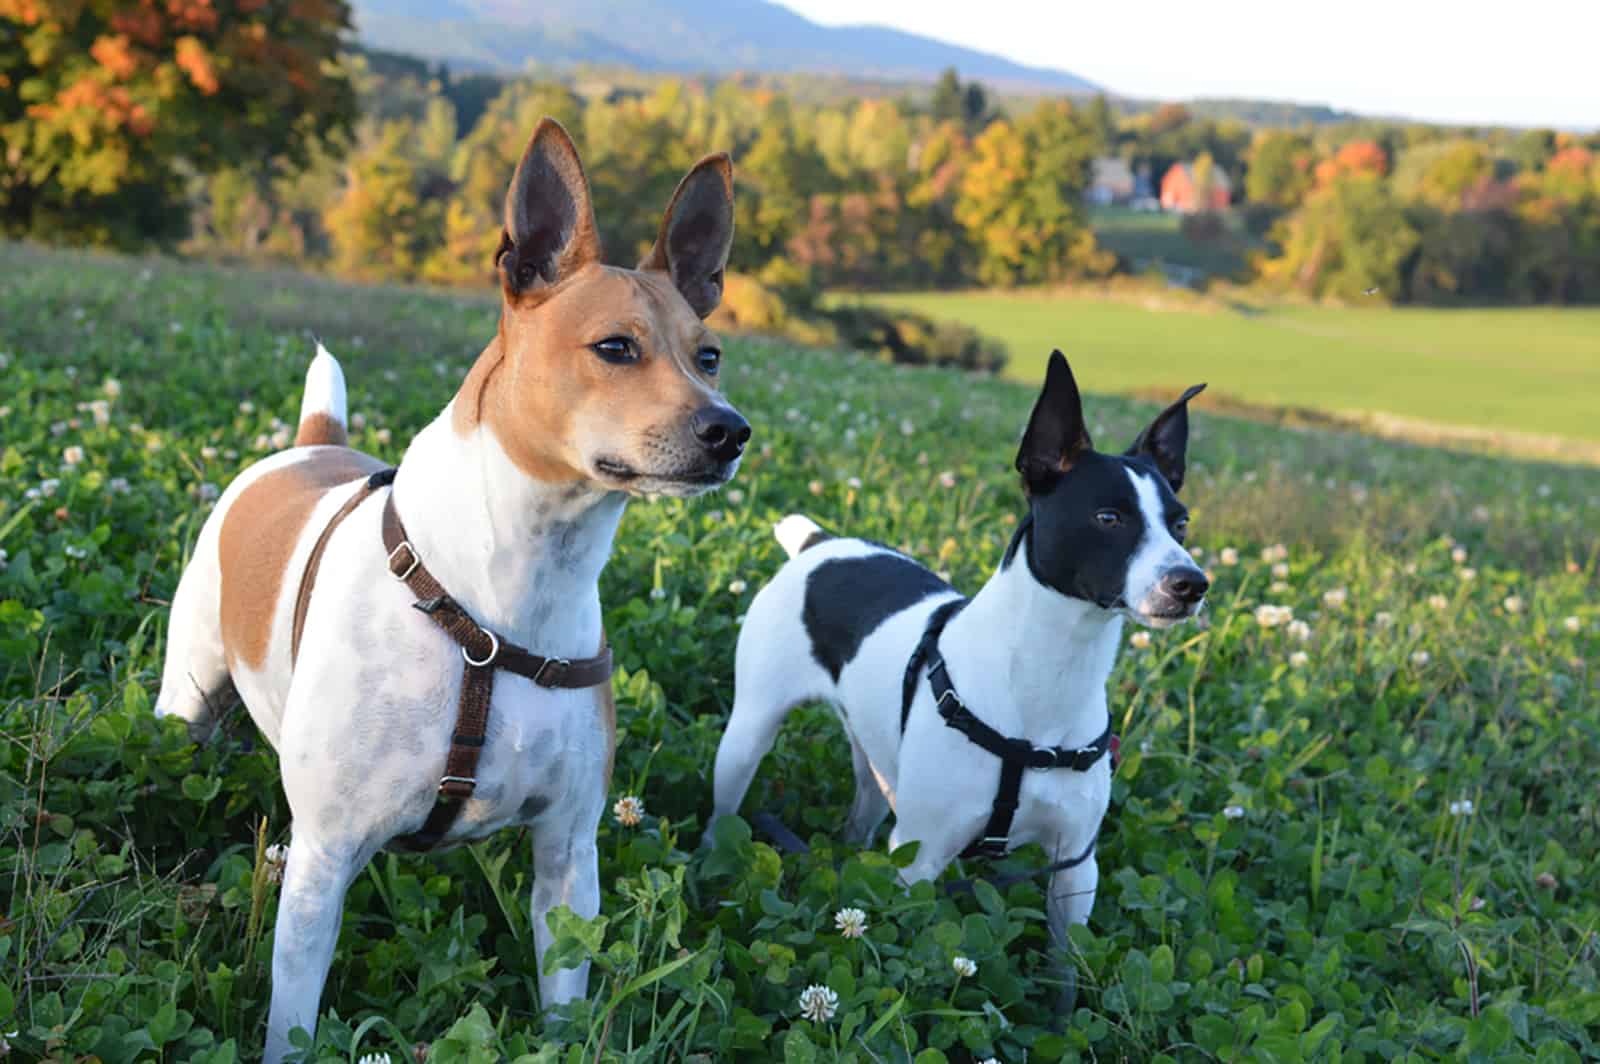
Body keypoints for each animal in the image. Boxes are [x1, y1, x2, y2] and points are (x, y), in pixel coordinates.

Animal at [156, 118, 742, 1056]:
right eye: (615, 347)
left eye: (710, 357)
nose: (730, 431)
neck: (504, 599)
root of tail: (312, 440)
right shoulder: (322, 857)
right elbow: (294, 1019)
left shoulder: (569, 853)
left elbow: (565, 995)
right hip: (185, 696)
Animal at [707, 352, 1203, 940]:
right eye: (1109, 518)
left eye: (1180, 523)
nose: (1192, 583)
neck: (1049, 675)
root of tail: (819, 543)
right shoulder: (920, 862)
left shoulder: (1075, 868)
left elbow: (1069, 958)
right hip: (747, 736)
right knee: (723, 810)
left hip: (874, 760)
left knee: (863, 811)